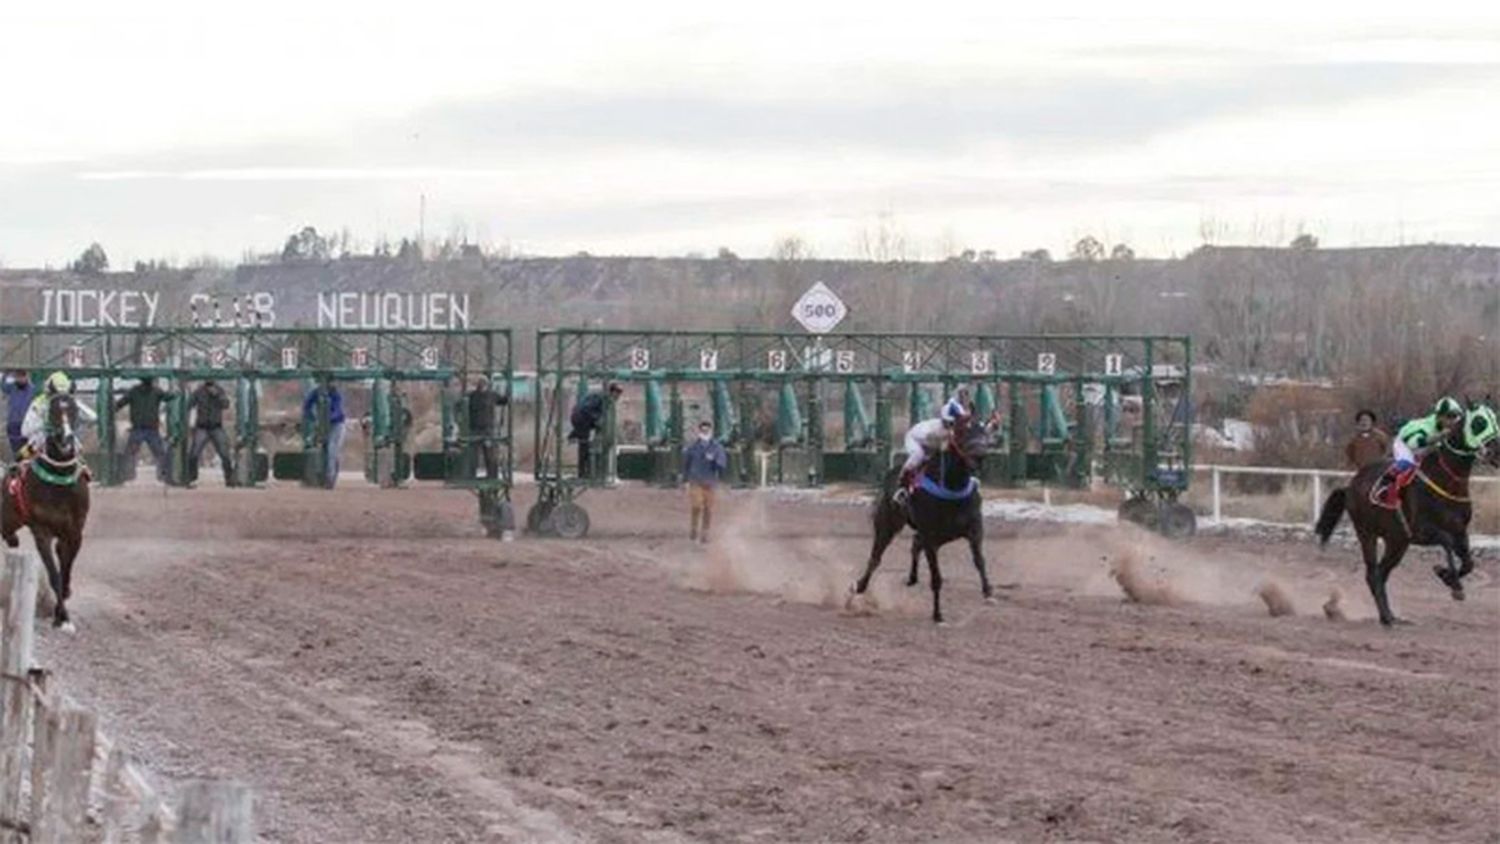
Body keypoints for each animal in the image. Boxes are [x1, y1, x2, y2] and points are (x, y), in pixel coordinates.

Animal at [1, 392, 91, 629]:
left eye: (74, 410)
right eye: (52, 411)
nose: (66, 440)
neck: (59, 483)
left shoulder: (75, 531)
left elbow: (65, 570)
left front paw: (63, 605)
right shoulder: (41, 530)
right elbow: (54, 574)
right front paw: (63, 617)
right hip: (10, 518)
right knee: (6, 532)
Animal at [852, 419, 990, 623]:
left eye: (985, 432)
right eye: (963, 432)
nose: (980, 455)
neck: (952, 488)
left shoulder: (974, 529)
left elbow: (979, 560)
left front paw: (988, 591)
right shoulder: (930, 537)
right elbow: (936, 578)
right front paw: (937, 614)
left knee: (915, 543)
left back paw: (912, 577)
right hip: (887, 524)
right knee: (875, 557)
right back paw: (860, 586)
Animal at [1314, 401, 1500, 626]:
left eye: (1495, 418)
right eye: (1479, 422)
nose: (1497, 452)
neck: (1446, 481)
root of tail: (1350, 485)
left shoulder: (1460, 531)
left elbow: (1469, 562)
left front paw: (1446, 575)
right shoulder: (1421, 531)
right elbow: (1446, 542)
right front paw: (1453, 582)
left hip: (1397, 542)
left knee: (1381, 574)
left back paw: (1390, 616)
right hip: (1367, 533)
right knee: (1372, 573)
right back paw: (1385, 617)